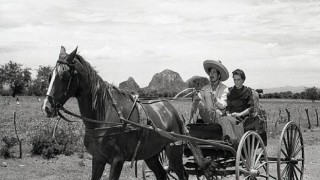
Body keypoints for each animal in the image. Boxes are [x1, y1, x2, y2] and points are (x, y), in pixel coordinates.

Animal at [42, 46, 188, 180]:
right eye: (50, 76)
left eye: (65, 75)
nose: (47, 107)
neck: (103, 117)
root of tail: (171, 109)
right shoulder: (97, 159)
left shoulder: (117, 160)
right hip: (151, 154)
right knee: (161, 174)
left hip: (173, 152)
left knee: (183, 175)